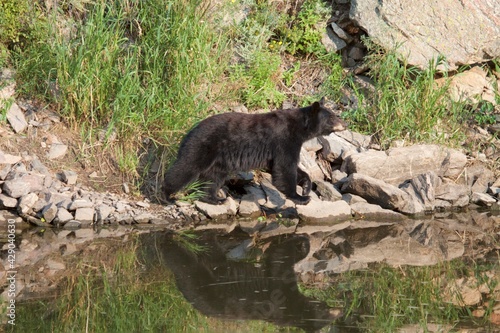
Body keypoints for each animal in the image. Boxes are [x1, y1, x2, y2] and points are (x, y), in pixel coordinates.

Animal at [162, 98, 346, 205]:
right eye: (332, 117)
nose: (345, 124)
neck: (301, 128)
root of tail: (190, 132)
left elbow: (284, 167)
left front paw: (307, 188)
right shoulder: (284, 140)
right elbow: (284, 168)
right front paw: (300, 197)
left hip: (218, 161)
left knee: (212, 179)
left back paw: (215, 199)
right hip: (202, 146)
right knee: (186, 167)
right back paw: (167, 195)